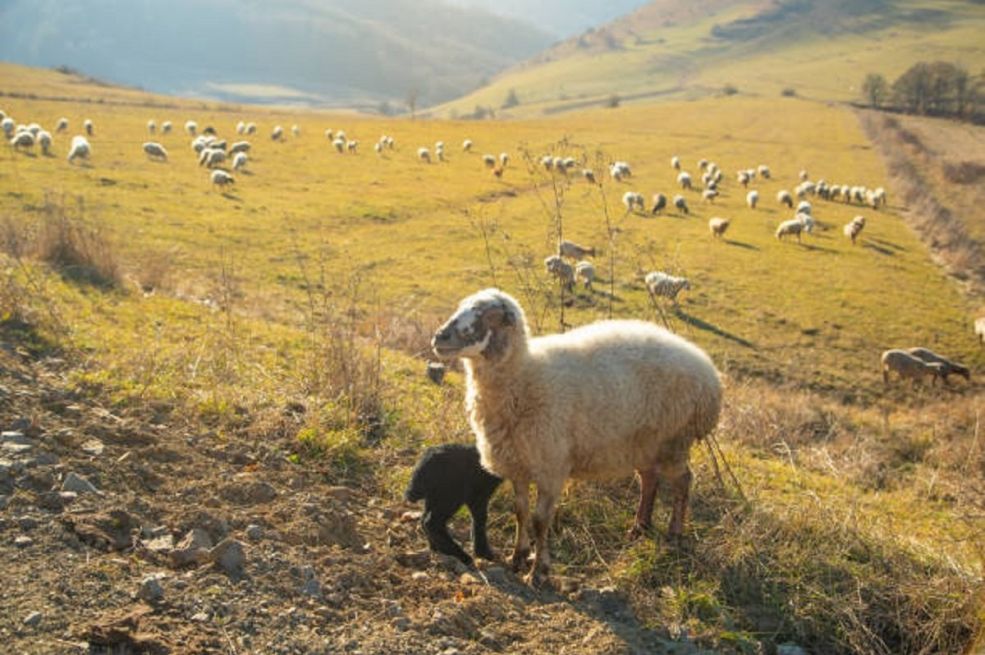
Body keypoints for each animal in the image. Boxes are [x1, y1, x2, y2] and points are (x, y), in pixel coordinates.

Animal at [430, 290, 724, 588]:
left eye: (486, 316)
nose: (440, 337)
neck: (524, 376)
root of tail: (707, 369)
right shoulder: (519, 463)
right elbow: (520, 511)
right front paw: (518, 557)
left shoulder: (550, 466)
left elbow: (539, 520)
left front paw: (538, 571)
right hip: (643, 441)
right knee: (649, 479)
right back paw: (639, 527)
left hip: (675, 440)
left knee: (682, 482)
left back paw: (674, 535)